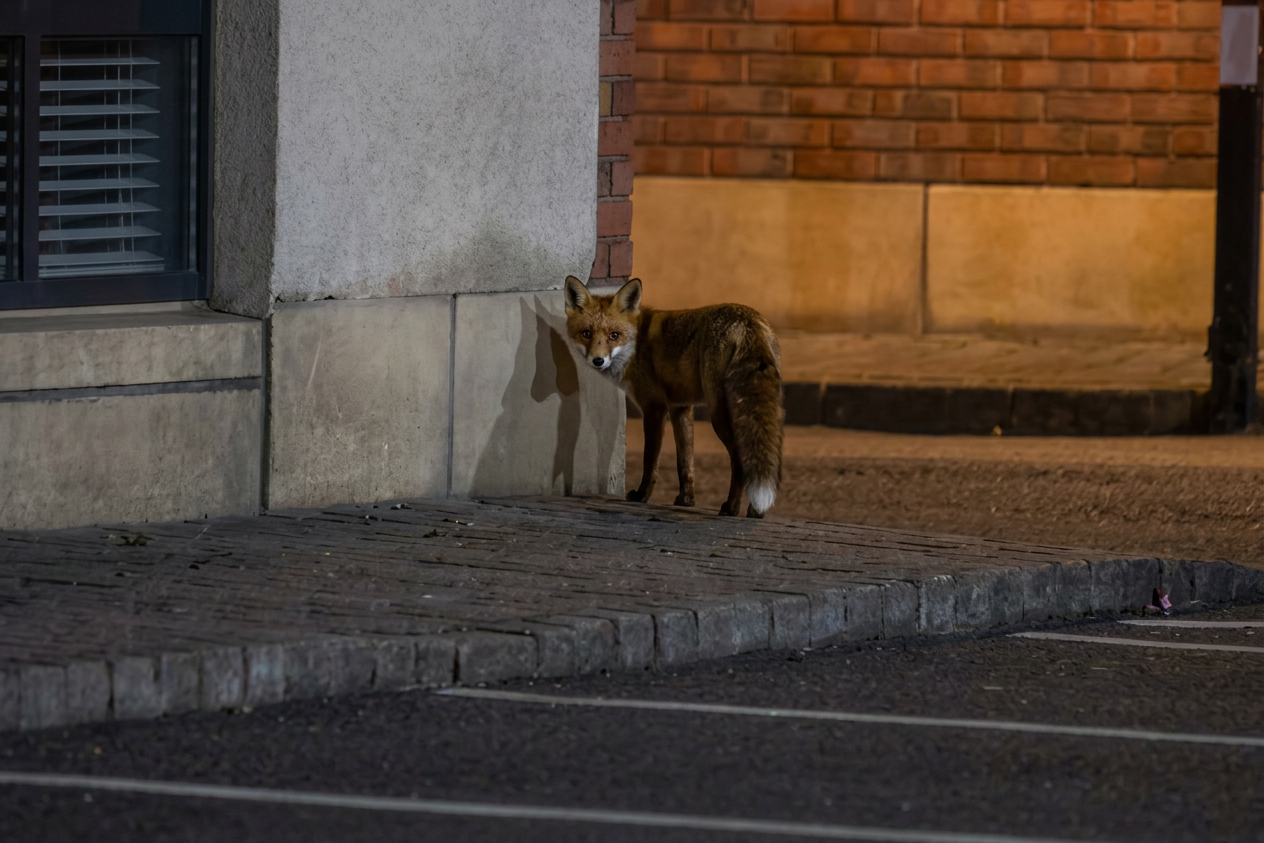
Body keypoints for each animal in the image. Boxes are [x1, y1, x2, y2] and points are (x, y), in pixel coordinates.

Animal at [563, 274, 784, 518]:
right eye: (586, 333)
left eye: (614, 336)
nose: (598, 360)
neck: (636, 345)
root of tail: (748, 321)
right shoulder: (681, 407)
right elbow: (685, 462)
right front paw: (686, 500)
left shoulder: (654, 407)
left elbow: (650, 459)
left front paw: (642, 496)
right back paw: (756, 512)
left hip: (719, 416)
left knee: (739, 460)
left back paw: (731, 508)